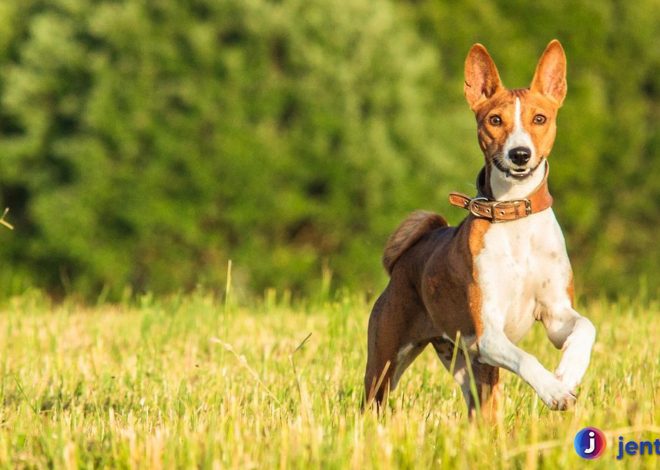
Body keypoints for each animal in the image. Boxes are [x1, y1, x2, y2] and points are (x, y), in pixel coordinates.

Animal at [364, 38, 596, 416]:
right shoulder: (488, 333)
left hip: (470, 369)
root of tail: (408, 257)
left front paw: (568, 373)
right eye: (495, 120)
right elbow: (527, 358)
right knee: (372, 402)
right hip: (386, 363)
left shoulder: (556, 314)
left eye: (540, 118)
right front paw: (553, 390)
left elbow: (586, 327)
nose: (520, 154)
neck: (515, 218)